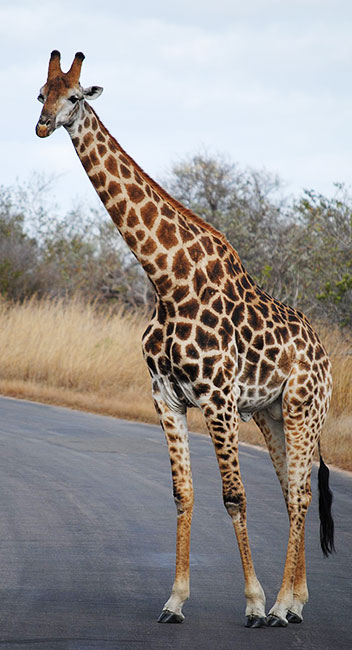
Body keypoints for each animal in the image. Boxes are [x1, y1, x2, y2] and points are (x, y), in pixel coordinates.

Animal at [36, 50, 336, 628]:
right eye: (41, 93)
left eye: (75, 96)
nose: (40, 125)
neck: (167, 281)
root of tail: (326, 356)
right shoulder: (166, 396)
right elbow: (183, 493)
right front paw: (175, 601)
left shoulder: (218, 399)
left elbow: (234, 496)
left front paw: (254, 603)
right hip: (269, 414)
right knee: (295, 488)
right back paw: (297, 600)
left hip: (303, 408)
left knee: (299, 494)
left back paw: (282, 607)